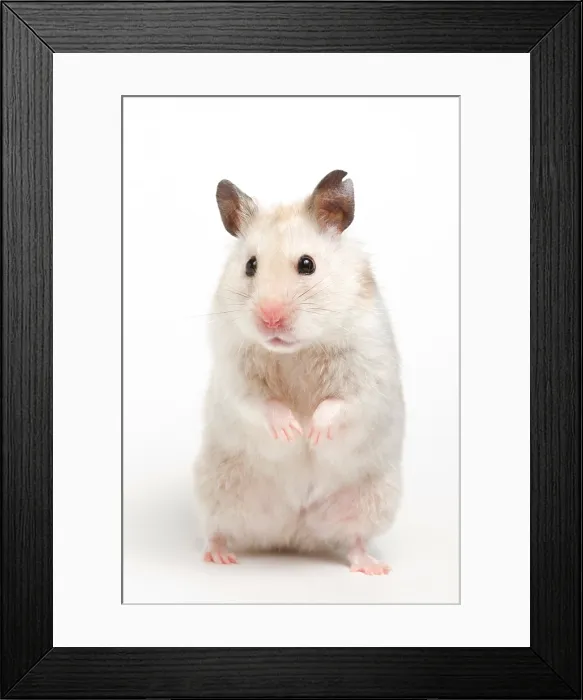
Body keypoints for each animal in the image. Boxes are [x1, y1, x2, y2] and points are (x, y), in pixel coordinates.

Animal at [193, 170, 404, 575]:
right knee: (217, 528)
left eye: (307, 264)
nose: (270, 318)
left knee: (353, 539)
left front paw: (313, 434)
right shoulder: (235, 376)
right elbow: (260, 403)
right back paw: (219, 556)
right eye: (250, 265)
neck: (296, 351)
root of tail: (293, 531)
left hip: (372, 498)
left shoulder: (368, 373)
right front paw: (292, 431)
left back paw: (372, 566)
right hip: (217, 488)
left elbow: (340, 404)